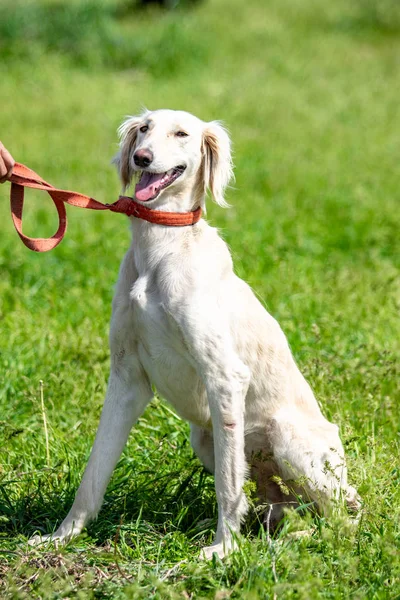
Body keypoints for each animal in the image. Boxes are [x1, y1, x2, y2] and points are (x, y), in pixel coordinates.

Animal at [30, 106, 360, 556]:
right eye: (144, 130)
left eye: (182, 134)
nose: (142, 159)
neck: (163, 248)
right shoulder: (127, 377)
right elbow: (94, 470)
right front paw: (63, 536)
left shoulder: (225, 376)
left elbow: (228, 485)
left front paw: (224, 550)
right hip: (205, 441)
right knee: (281, 507)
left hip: (287, 439)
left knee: (342, 519)